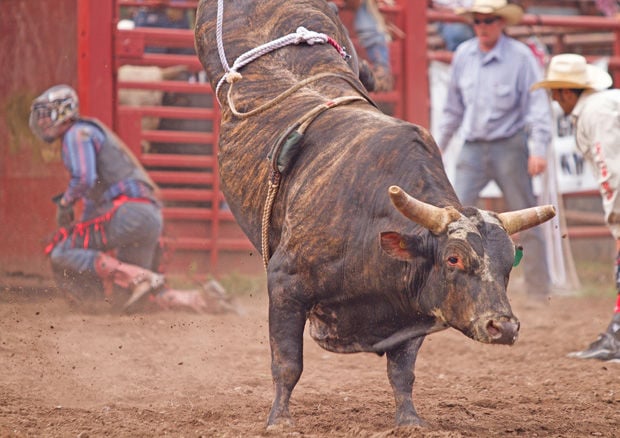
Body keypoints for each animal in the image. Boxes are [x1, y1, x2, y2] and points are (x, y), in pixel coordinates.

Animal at [194, 0, 556, 430]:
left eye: (507, 263)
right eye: (453, 258)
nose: (503, 326)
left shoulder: (412, 310)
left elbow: (402, 372)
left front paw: (410, 420)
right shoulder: (284, 284)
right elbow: (287, 363)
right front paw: (279, 420)